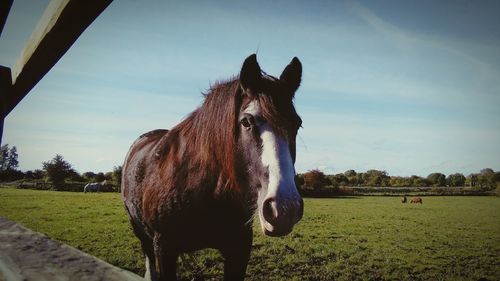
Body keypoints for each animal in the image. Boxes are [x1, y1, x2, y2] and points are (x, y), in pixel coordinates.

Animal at [122, 54, 304, 280]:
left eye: (297, 124)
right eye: (246, 121)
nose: (284, 208)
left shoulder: (239, 249)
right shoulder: (164, 248)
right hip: (139, 229)